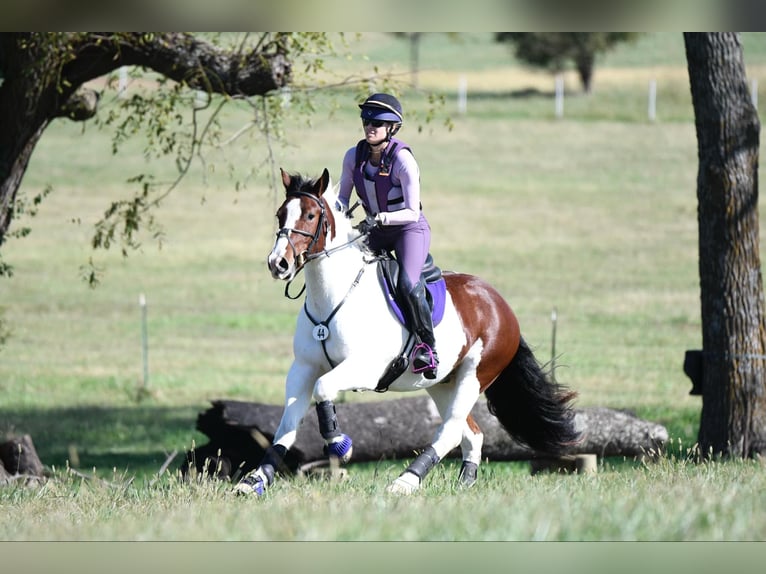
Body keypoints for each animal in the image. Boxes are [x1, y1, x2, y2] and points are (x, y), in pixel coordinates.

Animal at [236, 169, 584, 498]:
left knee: (451, 431)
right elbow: (288, 425)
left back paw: (405, 482)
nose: (278, 264)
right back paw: (464, 482)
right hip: (442, 382)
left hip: (475, 375)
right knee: (471, 433)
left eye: (310, 215)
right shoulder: (303, 368)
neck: (335, 296)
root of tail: (500, 304)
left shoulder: (366, 368)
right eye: (280, 214)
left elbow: (324, 389)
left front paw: (339, 444)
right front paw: (254, 481)